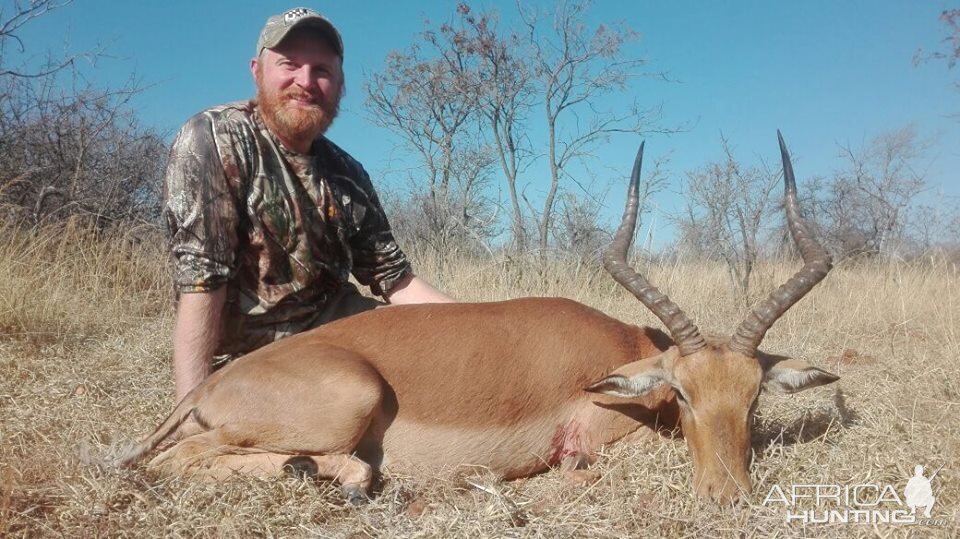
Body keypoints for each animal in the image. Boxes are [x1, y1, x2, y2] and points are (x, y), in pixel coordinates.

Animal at [118, 133, 840, 504]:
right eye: (683, 393)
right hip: (347, 401)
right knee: (176, 459)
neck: (617, 352)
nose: (729, 495)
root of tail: (207, 386)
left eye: (752, 397)